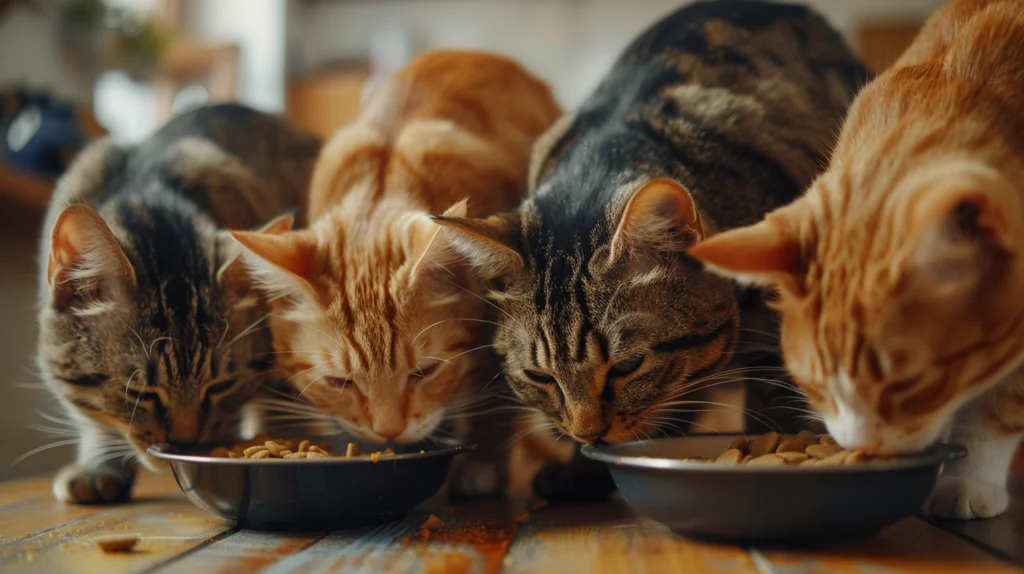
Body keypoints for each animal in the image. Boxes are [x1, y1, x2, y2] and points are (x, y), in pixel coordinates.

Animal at [436, 1, 868, 501]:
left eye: (627, 365)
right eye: (540, 377)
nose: (588, 433)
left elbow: (773, 391)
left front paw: (775, 446)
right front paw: (583, 467)